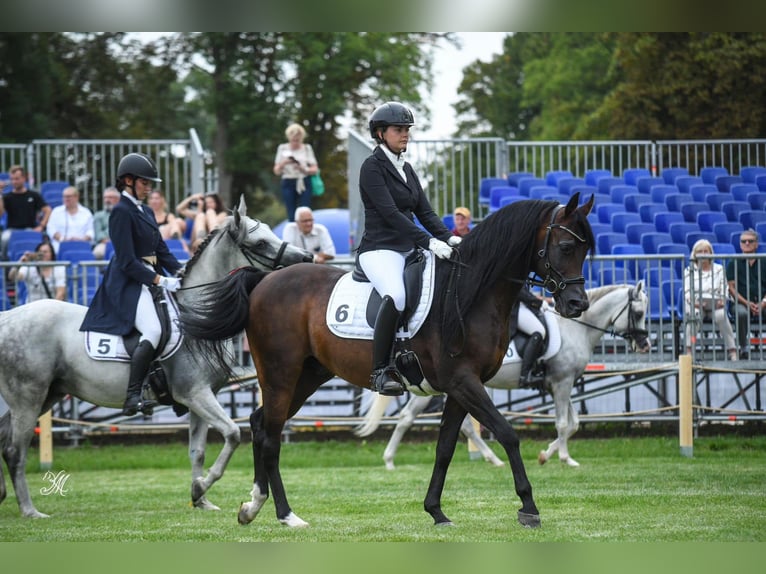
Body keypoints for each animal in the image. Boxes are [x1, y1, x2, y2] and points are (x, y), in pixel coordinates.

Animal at [182, 195, 600, 532]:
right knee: (269, 435)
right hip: (280, 373)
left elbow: (445, 448)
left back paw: (253, 506)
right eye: (565, 246)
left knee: (259, 423)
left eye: (585, 250)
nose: (577, 304)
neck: (469, 294)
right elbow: (508, 434)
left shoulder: (458, 387)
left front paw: (436, 511)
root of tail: (264, 281)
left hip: (309, 374)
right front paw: (529, 507)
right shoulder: (464, 382)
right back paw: (286, 515)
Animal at [356, 282, 652, 468]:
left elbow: (574, 423)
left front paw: (550, 455)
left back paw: (493, 459)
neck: (575, 328)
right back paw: (389, 460)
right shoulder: (562, 382)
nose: (645, 345)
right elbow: (563, 424)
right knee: (408, 417)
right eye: (638, 313)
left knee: (462, 426)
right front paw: (560, 458)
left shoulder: (562, 383)